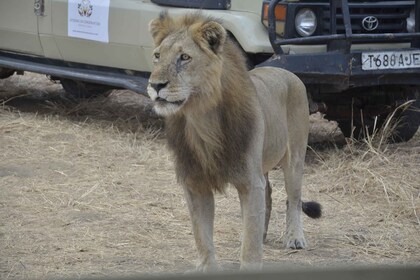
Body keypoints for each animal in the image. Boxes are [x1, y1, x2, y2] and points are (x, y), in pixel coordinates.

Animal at [148, 12, 322, 270]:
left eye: (184, 57)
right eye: (157, 56)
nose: (155, 85)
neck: (201, 120)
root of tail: (289, 74)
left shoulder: (250, 181)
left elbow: (249, 247)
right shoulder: (196, 183)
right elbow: (202, 236)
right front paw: (208, 267)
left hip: (295, 159)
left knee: (293, 199)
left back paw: (294, 237)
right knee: (268, 194)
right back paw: (262, 233)